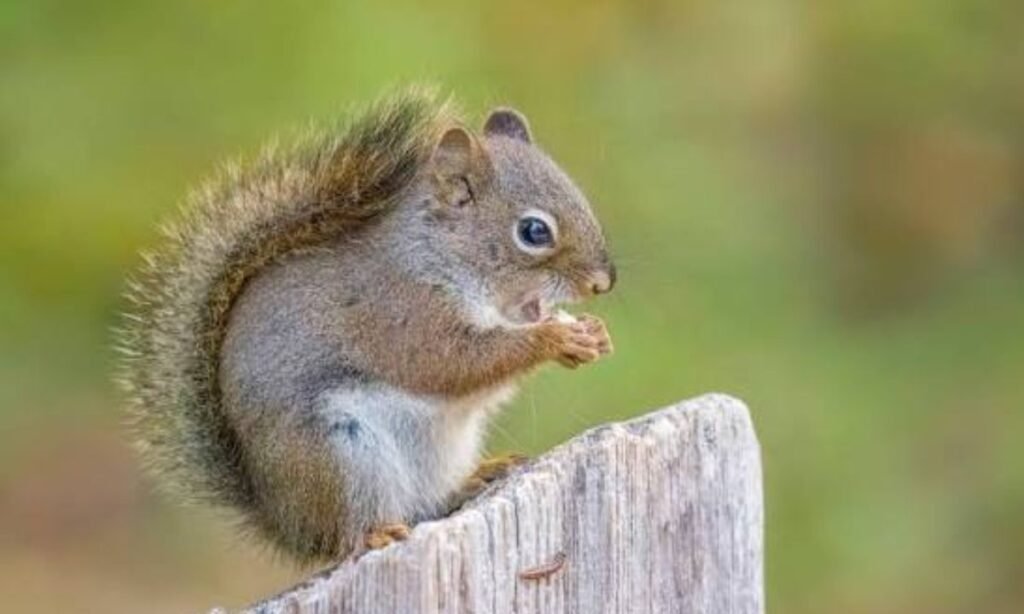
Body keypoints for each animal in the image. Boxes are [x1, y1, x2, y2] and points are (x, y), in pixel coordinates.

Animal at [116, 87, 616, 564]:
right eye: (534, 232)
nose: (604, 282)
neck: (441, 256)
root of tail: (288, 524)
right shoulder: (400, 314)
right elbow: (453, 363)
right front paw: (555, 338)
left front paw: (591, 334)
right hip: (340, 456)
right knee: (346, 535)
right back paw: (374, 533)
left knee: (427, 504)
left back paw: (476, 477)